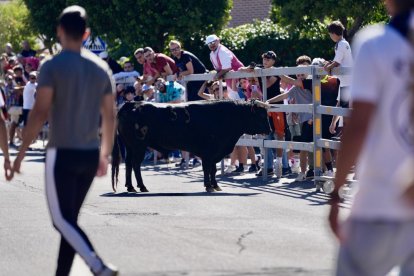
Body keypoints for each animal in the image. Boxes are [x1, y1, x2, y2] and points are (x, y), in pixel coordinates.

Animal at [111, 100, 272, 193]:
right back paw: (142, 186)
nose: (270, 130)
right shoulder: (209, 152)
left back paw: (130, 187)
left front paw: (215, 185)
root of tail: (132, 104)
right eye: (261, 116)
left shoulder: (214, 153)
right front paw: (209, 186)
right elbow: (208, 169)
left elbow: (213, 170)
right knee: (135, 164)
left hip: (130, 147)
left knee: (129, 164)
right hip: (138, 146)